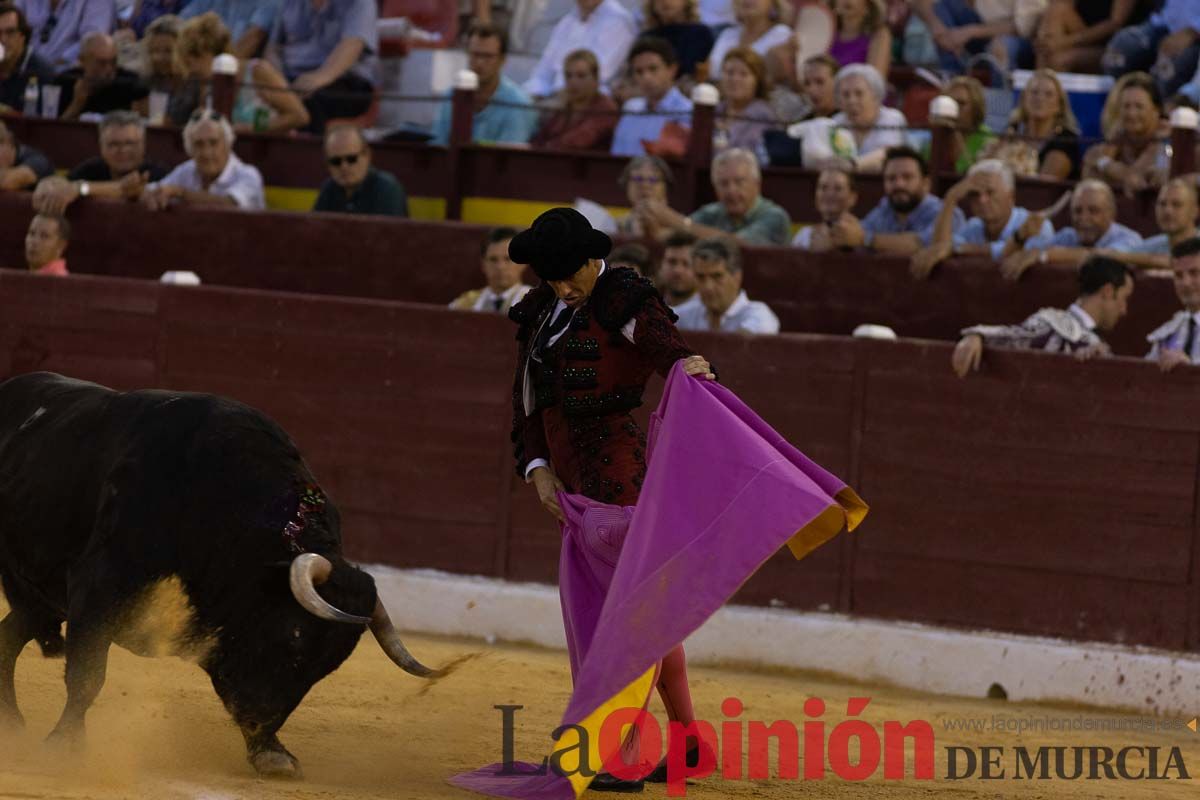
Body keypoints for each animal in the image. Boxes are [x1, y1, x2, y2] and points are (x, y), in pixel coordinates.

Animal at [0, 374, 441, 777]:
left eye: (330, 664)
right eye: (295, 635)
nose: (260, 718)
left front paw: (272, 753)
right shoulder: (99, 589)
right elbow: (88, 675)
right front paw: (65, 746)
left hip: (40, 599)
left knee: (7, 637)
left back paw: (12, 725)